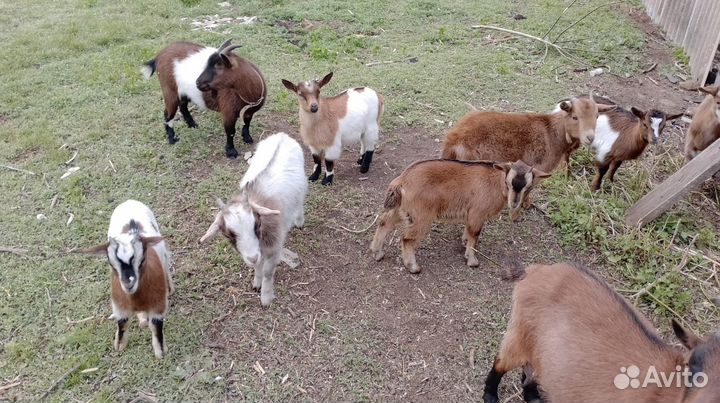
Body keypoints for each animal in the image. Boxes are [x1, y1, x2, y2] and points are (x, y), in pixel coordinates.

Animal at [82, 200, 172, 358]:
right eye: (111, 263)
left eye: (142, 260)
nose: (128, 283)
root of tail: (129, 201)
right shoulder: (120, 305)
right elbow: (122, 324)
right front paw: (119, 345)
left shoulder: (158, 304)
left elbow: (156, 326)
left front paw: (160, 352)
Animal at [199, 132, 307, 306]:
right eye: (228, 235)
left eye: (257, 225)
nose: (252, 257)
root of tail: (282, 135)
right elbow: (258, 267)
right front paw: (256, 283)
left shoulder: (274, 247)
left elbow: (268, 273)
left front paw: (266, 298)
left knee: (300, 202)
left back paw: (299, 221)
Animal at [370, 160, 549, 273]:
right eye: (509, 183)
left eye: (528, 187)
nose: (514, 203)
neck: (495, 183)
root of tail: (402, 180)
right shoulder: (477, 213)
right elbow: (474, 234)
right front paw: (472, 260)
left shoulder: (470, 214)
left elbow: (468, 232)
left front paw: (464, 242)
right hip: (421, 215)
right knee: (407, 239)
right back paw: (413, 267)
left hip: (403, 209)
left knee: (384, 222)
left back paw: (378, 252)